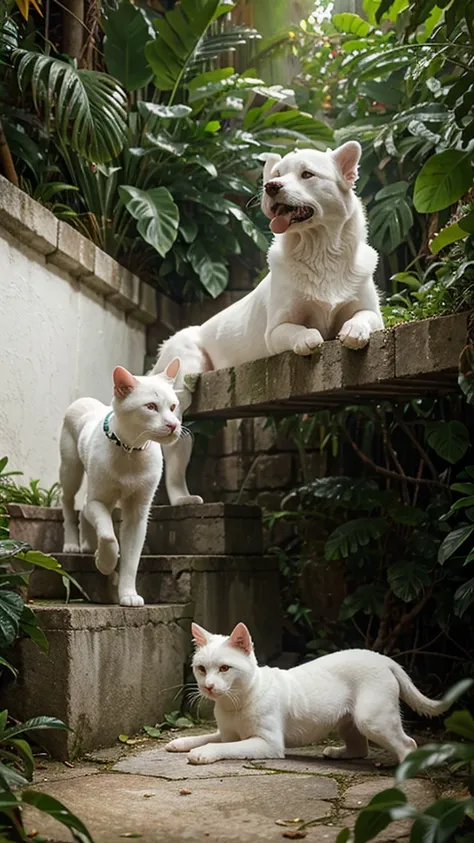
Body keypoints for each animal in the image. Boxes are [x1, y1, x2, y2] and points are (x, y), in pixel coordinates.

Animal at [60, 362, 182, 608]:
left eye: (173, 406)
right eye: (151, 406)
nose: (173, 425)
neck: (130, 450)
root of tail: (85, 399)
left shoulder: (138, 512)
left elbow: (131, 558)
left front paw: (128, 594)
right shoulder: (98, 501)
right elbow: (109, 537)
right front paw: (105, 562)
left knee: (82, 511)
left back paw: (88, 544)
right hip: (71, 470)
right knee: (69, 503)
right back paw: (72, 543)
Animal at [154, 143, 384, 508]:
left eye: (307, 174)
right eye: (276, 175)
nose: (270, 187)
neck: (320, 252)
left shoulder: (373, 312)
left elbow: (363, 317)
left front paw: (353, 332)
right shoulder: (276, 330)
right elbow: (299, 331)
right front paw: (310, 339)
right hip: (183, 380)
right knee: (174, 447)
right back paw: (182, 499)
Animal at [166, 624, 452, 768]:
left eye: (225, 668)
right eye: (202, 669)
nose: (208, 686)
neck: (232, 704)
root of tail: (383, 658)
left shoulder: (267, 743)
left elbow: (223, 747)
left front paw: (202, 753)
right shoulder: (227, 733)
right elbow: (207, 736)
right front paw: (181, 742)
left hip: (371, 718)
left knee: (408, 744)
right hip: (350, 721)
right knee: (360, 749)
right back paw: (336, 753)